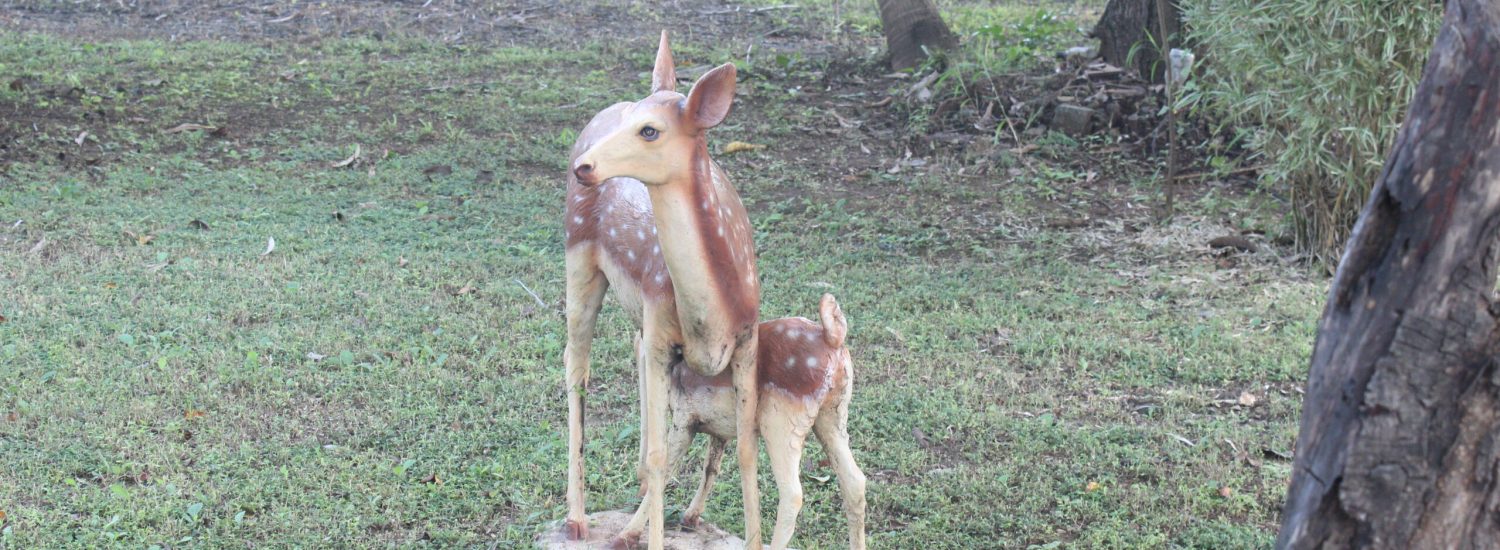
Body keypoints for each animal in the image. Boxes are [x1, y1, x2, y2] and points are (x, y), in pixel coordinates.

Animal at [567, 33, 768, 550]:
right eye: (635, 123)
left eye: (650, 131)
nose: (583, 165)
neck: (711, 315)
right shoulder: (664, 331)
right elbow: (663, 455)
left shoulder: (748, 339)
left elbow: (745, 447)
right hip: (576, 252)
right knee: (576, 368)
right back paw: (576, 519)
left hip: (639, 307)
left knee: (631, 347)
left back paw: (634, 482)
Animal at [621, 295, 870, 548]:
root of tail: (833, 338)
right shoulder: (717, 431)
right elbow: (710, 468)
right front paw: (690, 518)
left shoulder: (684, 420)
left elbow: (664, 472)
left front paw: (626, 535)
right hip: (832, 417)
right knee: (855, 482)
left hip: (781, 423)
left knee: (792, 494)